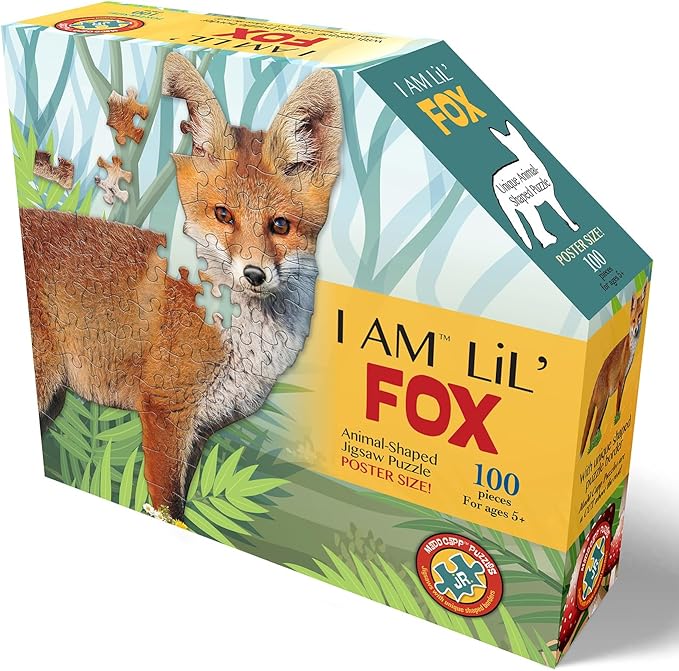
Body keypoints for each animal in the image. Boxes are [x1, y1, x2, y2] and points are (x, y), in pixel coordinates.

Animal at [20, 53, 342, 519]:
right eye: (224, 215)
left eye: (280, 225)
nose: (254, 274)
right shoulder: (164, 412)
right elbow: (165, 506)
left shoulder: (200, 429)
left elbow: (181, 504)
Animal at [580, 284, 647, 456]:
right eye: (632, 320)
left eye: (640, 315)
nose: (635, 330)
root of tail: (594, 386)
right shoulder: (621, 379)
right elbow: (618, 403)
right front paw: (617, 418)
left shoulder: (625, 377)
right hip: (602, 404)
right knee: (591, 435)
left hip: (602, 407)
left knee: (594, 432)